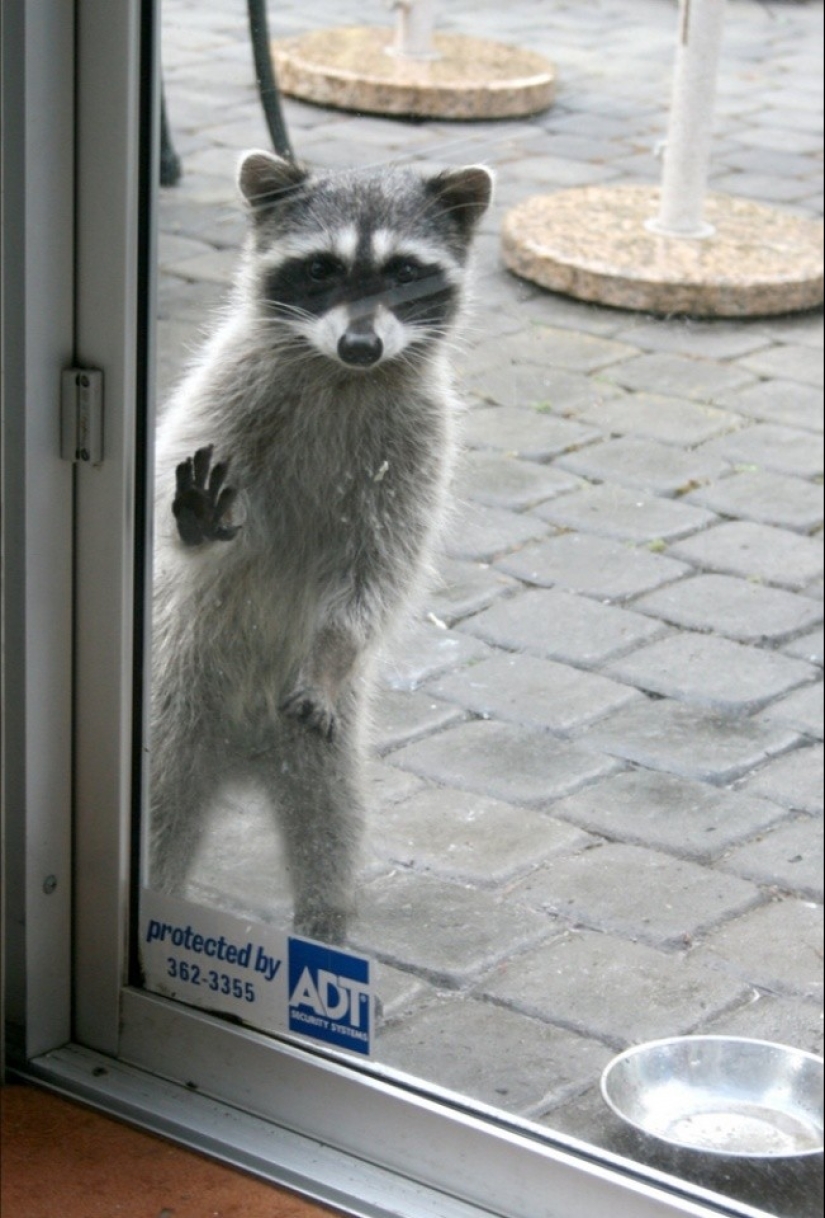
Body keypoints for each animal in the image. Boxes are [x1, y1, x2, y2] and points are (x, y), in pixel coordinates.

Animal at [149, 150, 492, 944]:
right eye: (320, 269)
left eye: (403, 272)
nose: (361, 345)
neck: (340, 375)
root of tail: (242, 755)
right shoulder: (222, 394)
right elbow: (168, 525)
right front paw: (194, 528)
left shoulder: (418, 447)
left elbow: (379, 572)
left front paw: (337, 646)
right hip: (172, 693)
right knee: (162, 806)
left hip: (321, 742)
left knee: (329, 820)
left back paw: (322, 920)